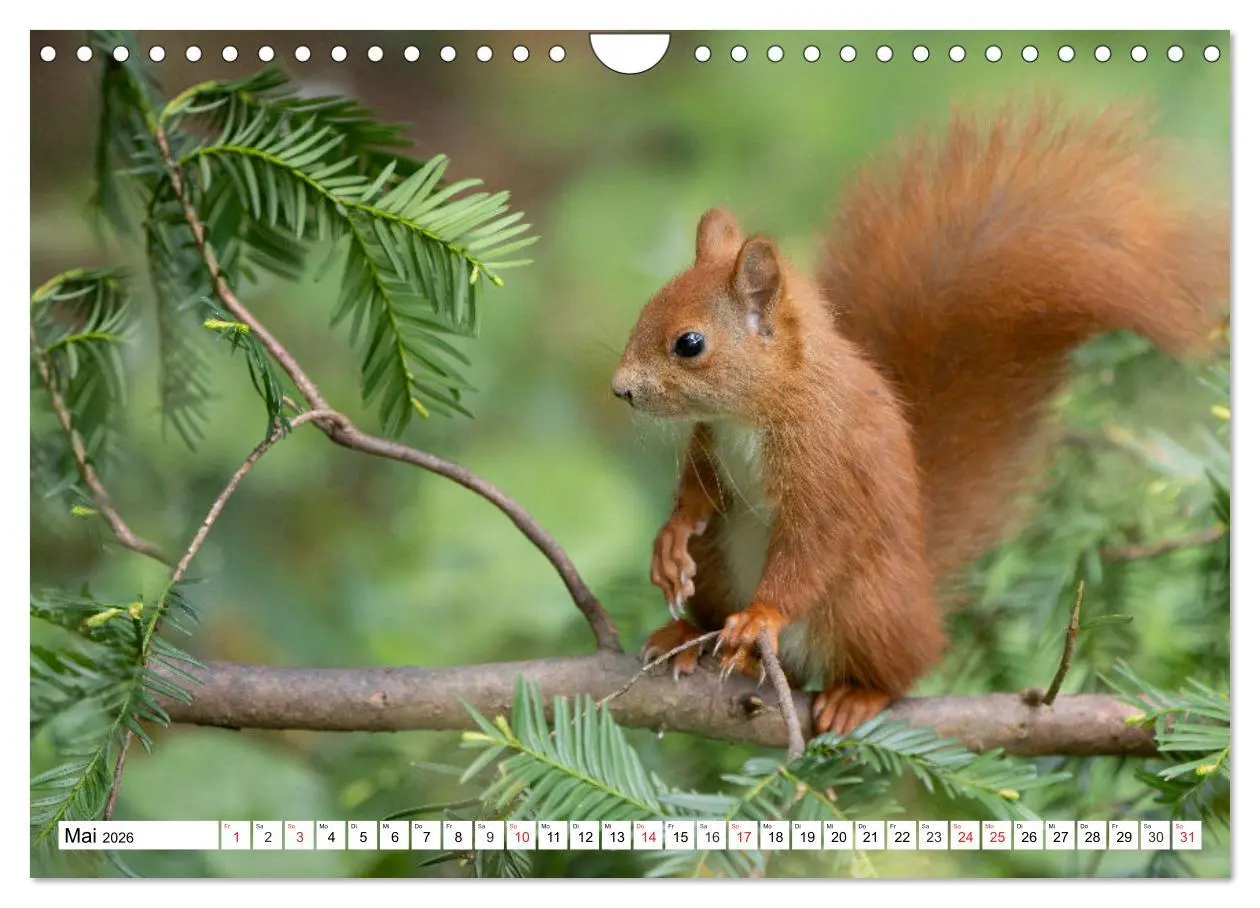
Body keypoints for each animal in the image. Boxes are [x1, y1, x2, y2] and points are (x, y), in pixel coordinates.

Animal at [610, 104, 1229, 736]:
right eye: (644, 309)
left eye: (690, 343)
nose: (621, 390)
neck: (753, 411)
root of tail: (921, 591)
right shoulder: (710, 440)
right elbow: (699, 490)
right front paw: (670, 541)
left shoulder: (827, 461)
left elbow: (815, 543)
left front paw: (761, 615)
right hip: (720, 563)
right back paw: (687, 636)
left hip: (868, 603)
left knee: (904, 665)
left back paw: (854, 694)